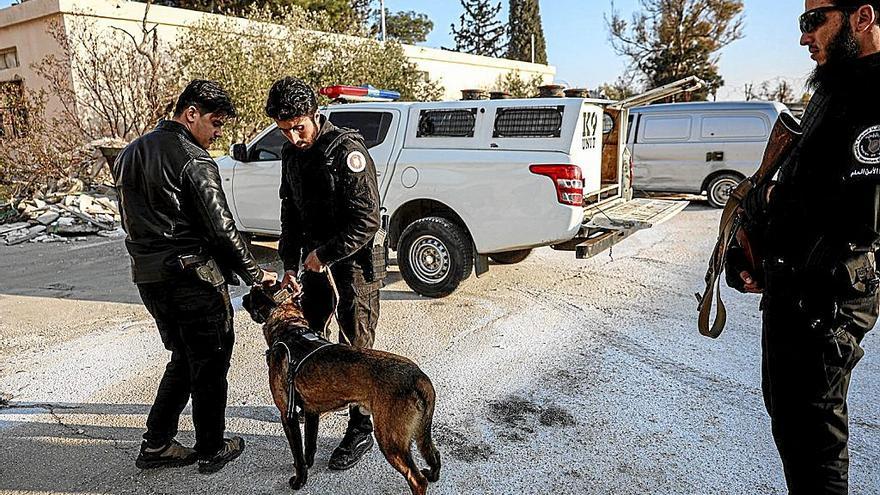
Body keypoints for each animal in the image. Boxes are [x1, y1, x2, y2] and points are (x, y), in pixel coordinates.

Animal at [242, 282, 440, 495]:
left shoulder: (288, 416)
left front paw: (299, 480)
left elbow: (298, 456)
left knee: (417, 479)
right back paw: (433, 474)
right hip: (419, 433)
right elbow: (309, 446)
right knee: (434, 454)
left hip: (390, 440)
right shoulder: (311, 413)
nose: (243, 297)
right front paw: (309, 464)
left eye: (252, 293)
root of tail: (418, 377)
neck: (290, 328)